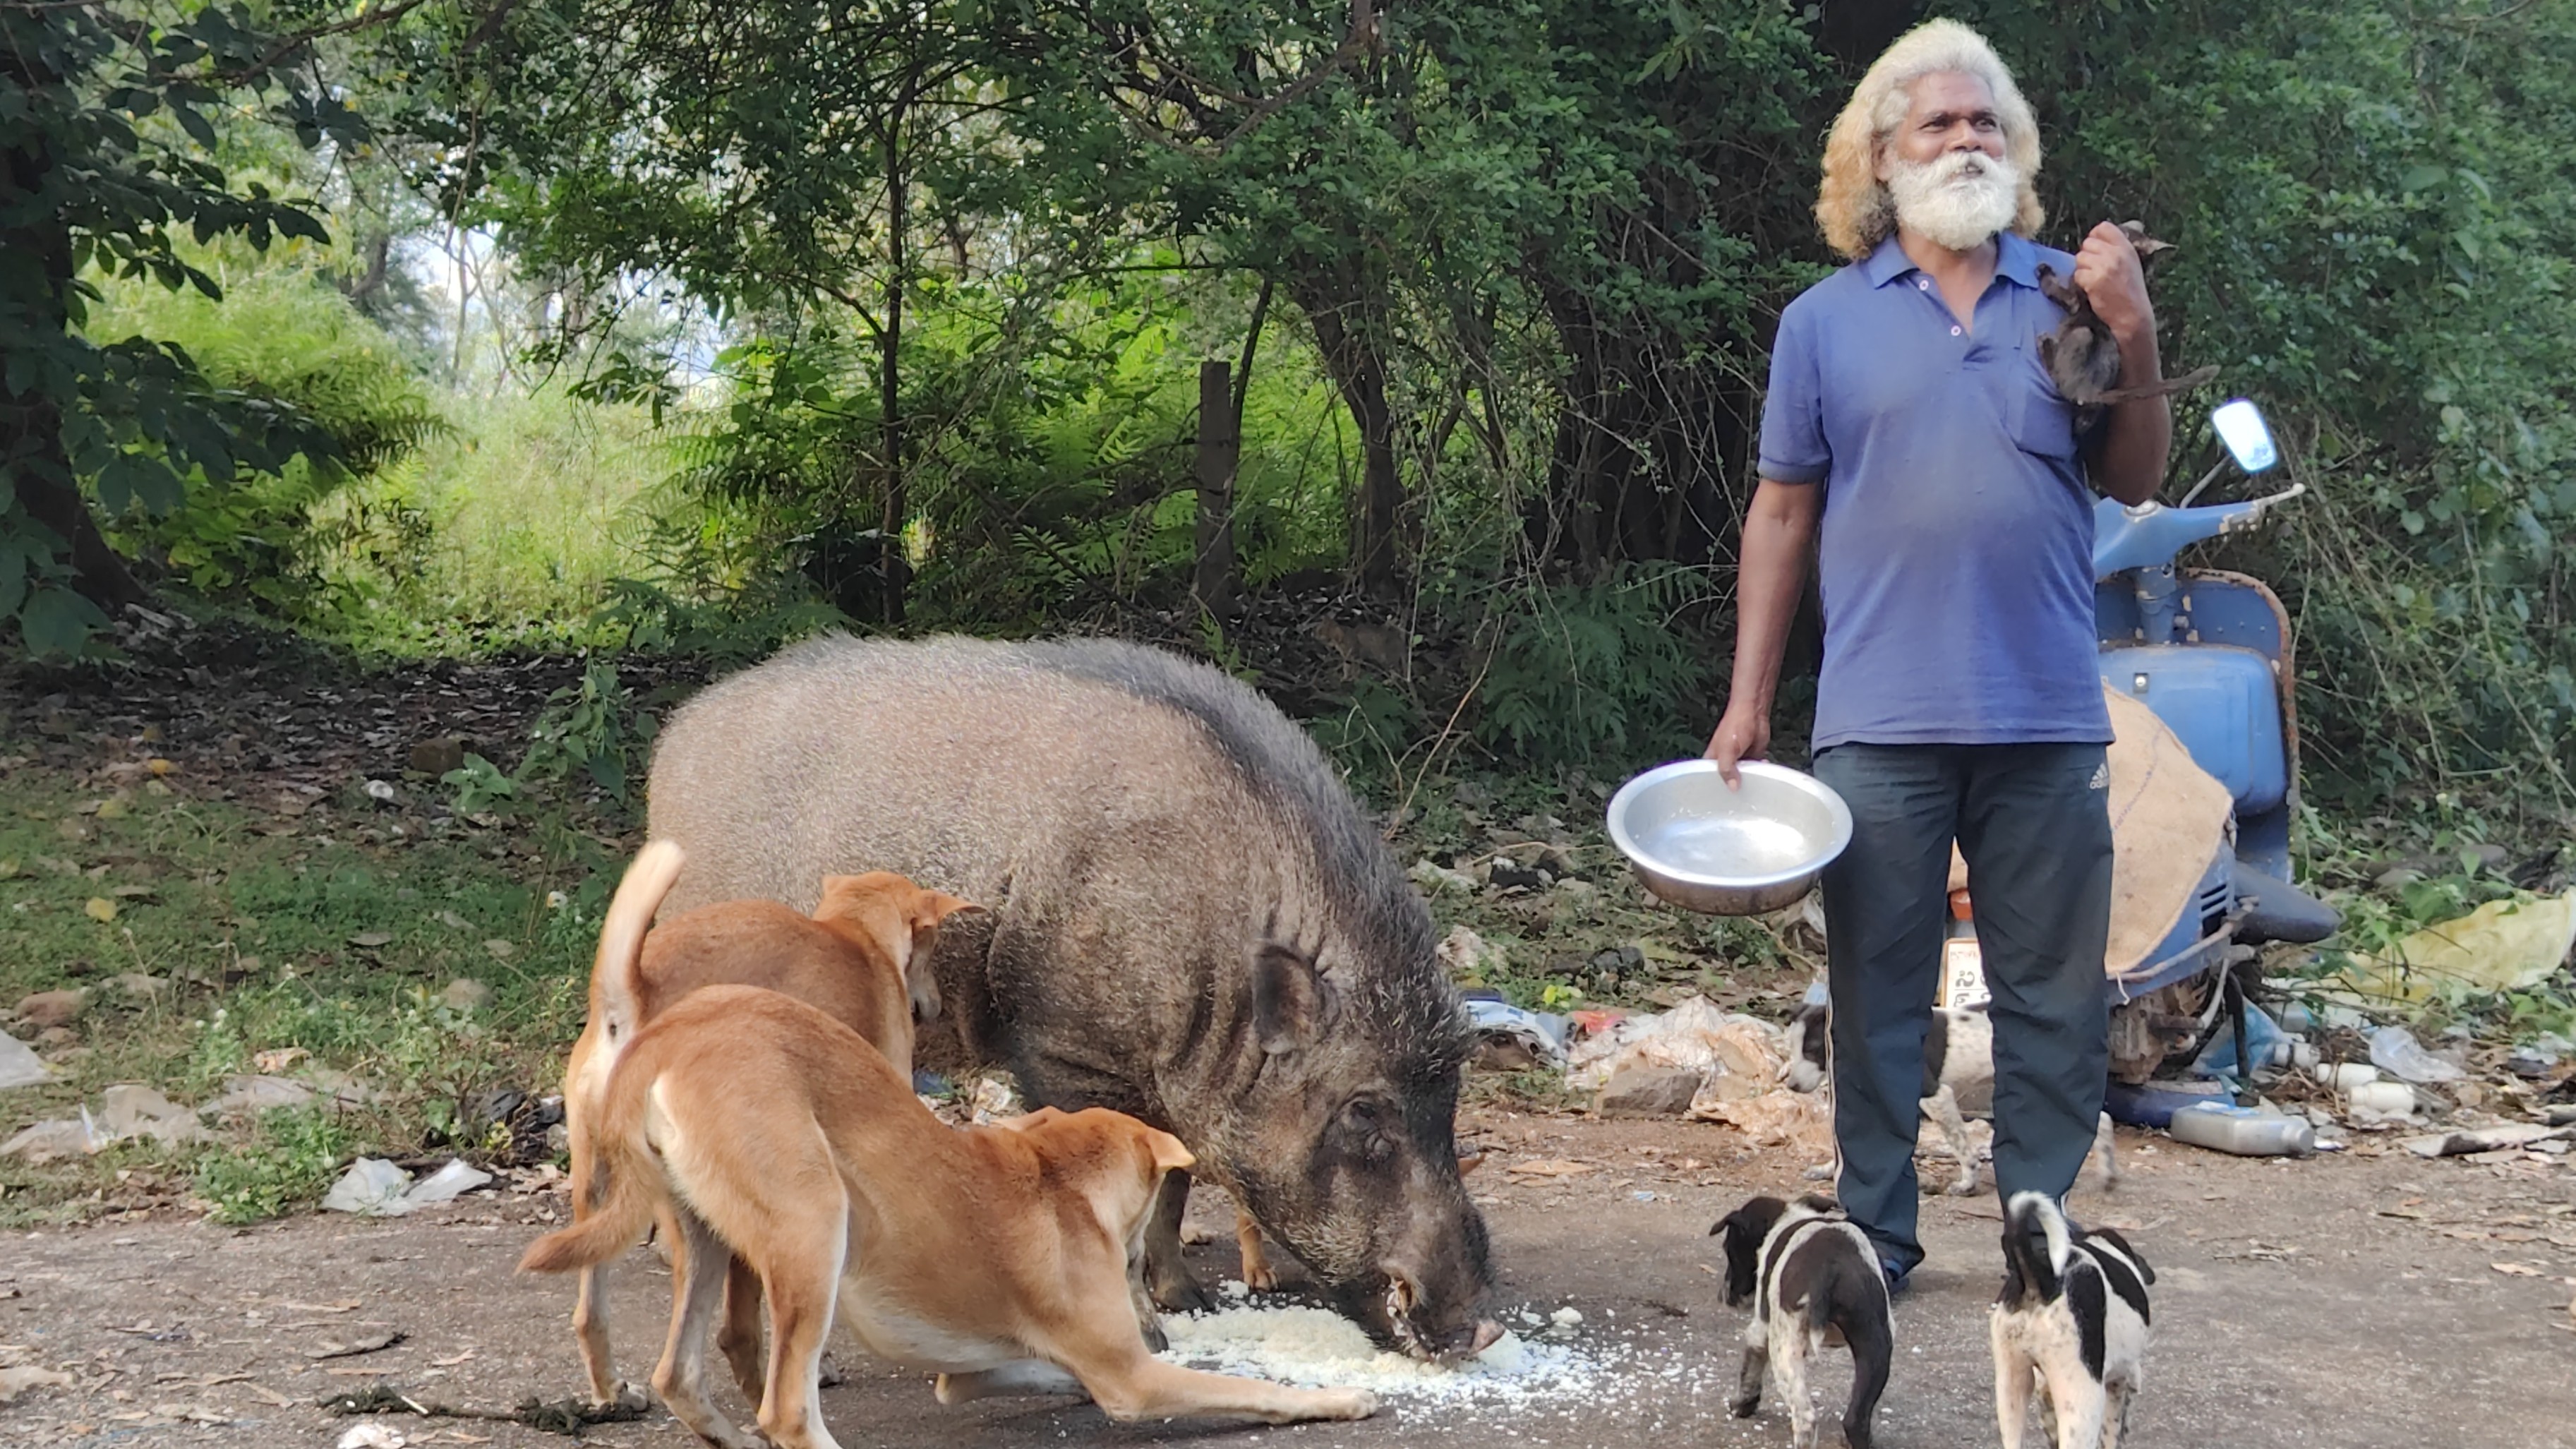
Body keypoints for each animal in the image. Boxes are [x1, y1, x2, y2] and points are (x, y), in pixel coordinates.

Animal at [644, 634, 1499, 1359]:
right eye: (1364, 1109)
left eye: (1451, 1094)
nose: (1477, 1326)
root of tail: (674, 743)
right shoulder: (1069, 1052)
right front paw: (1148, 1331)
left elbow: (1174, 1186)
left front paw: (1189, 1300)